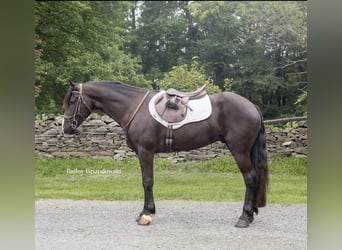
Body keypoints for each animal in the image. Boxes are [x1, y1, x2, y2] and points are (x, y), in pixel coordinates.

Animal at [62, 81, 268, 228]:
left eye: (72, 101)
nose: (66, 128)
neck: (134, 107)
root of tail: (252, 106)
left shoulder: (145, 151)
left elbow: (147, 181)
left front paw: (146, 214)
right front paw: (146, 211)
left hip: (239, 151)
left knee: (250, 178)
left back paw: (244, 217)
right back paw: (250, 215)